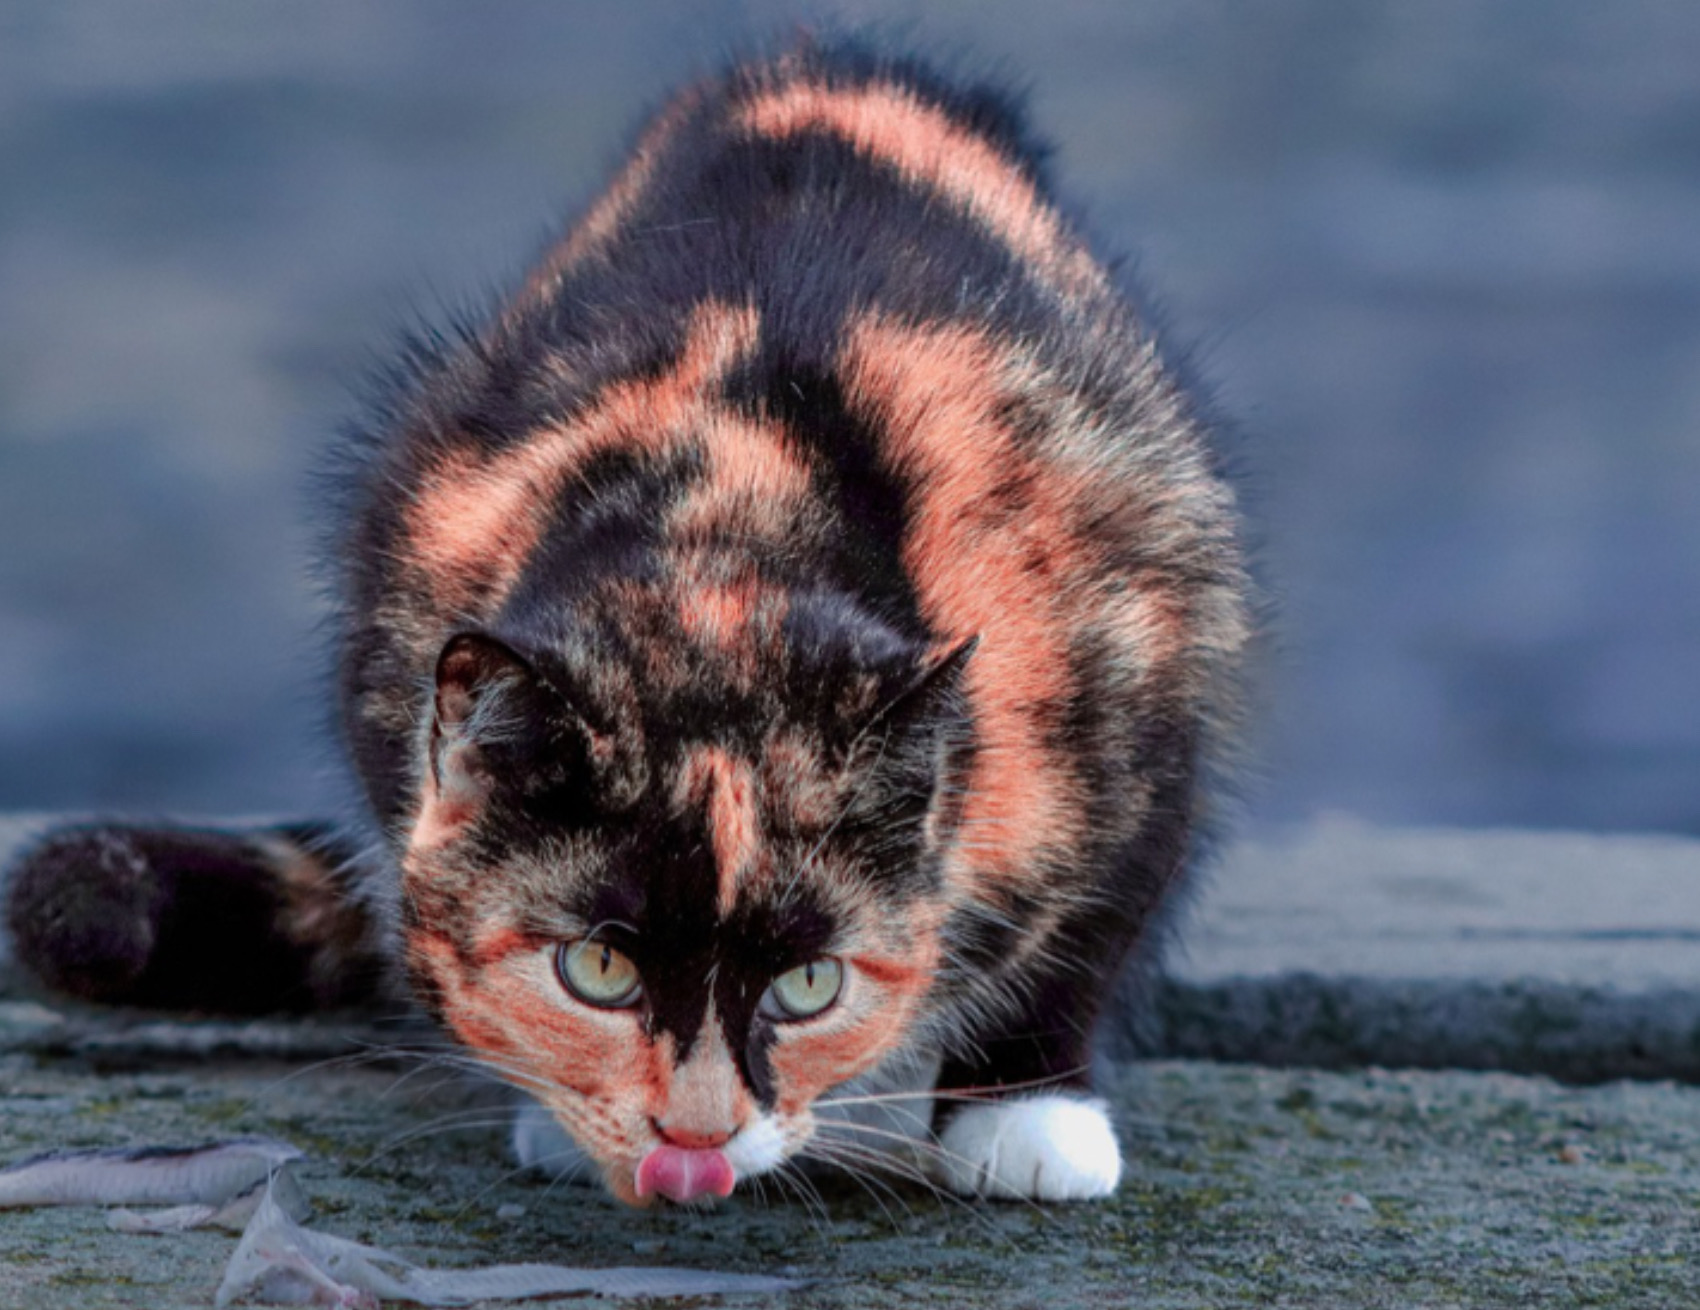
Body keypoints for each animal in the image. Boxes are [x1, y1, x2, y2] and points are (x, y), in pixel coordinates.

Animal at [0, 35, 1251, 1209]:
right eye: (595, 968)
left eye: (811, 983)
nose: (694, 1136)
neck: (731, 522)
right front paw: (559, 1113)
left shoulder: (1130, 641)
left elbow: (1101, 905)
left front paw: (1028, 1116)